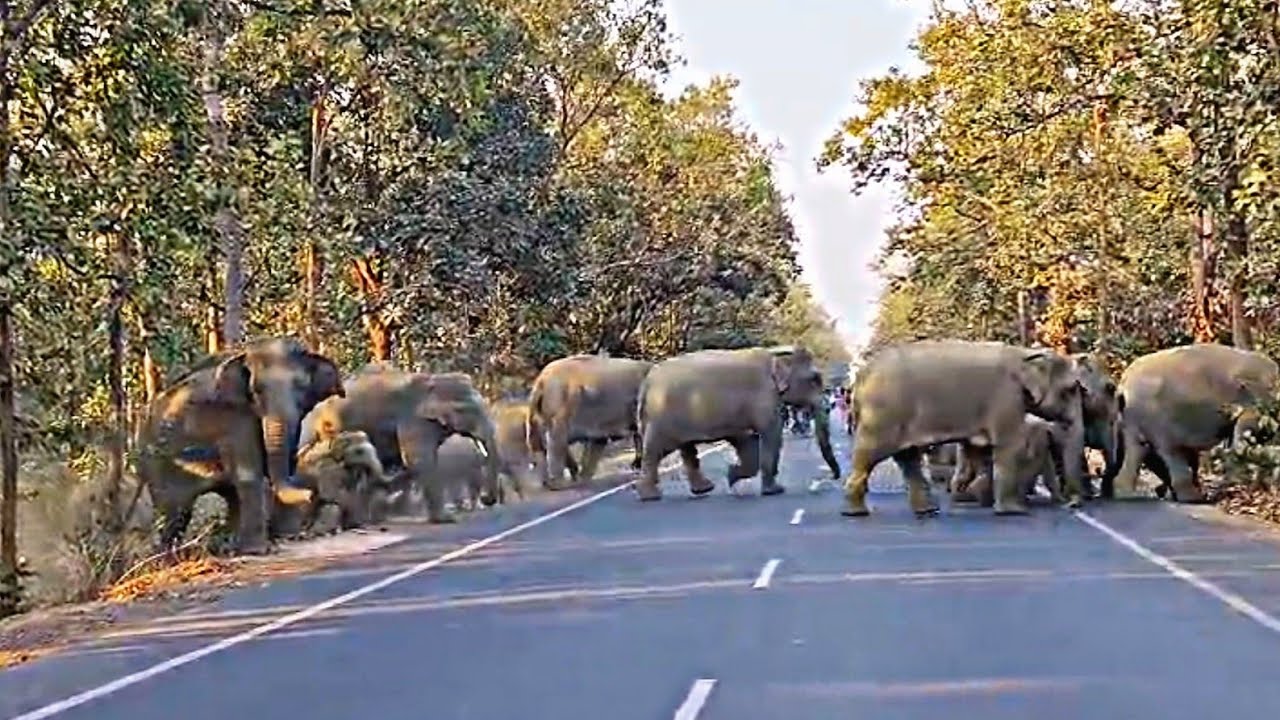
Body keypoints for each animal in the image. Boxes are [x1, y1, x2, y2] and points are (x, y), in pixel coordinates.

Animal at [137, 337, 345, 554]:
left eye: (301, 387)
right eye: (256, 391)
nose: (312, 494)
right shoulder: (234, 418)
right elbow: (249, 474)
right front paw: (257, 550)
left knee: (227, 497)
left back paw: (224, 546)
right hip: (155, 460)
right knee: (175, 512)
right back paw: (167, 555)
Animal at [298, 365, 501, 524]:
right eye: (465, 410)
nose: (487, 500)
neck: (434, 379)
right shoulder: (412, 420)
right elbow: (420, 461)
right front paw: (446, 519)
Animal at [634, 345, 824, 500]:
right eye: (815, 379)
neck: (775, 354)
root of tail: (646, 383)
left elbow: (749, 442)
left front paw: (732, 475)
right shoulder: (764, 397)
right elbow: (771, 435)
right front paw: (775, 491)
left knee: (685, 448)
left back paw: (703, 489)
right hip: (662, 417)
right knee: (657, 450)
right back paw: (651, 496)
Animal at [844, 340, 1086, 517]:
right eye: (1071, 389)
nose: (1071, 505)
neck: (1024, 354)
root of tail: (861, 377)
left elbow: (976, 450)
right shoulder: (1006, 399)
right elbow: (1009, 446)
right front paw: (1014, 512)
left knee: (907, 458)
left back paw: (928, 511)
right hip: (882, 416)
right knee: (869, 455)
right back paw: (857, 513)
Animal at [1109, 343, 1279, 503]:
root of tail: (1124, 383)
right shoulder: (1254, 400)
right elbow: (1245, 432)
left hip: (1135, 416)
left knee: (1138, 448)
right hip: (1154, 415)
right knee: (1169, 450)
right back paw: (1193, 498)